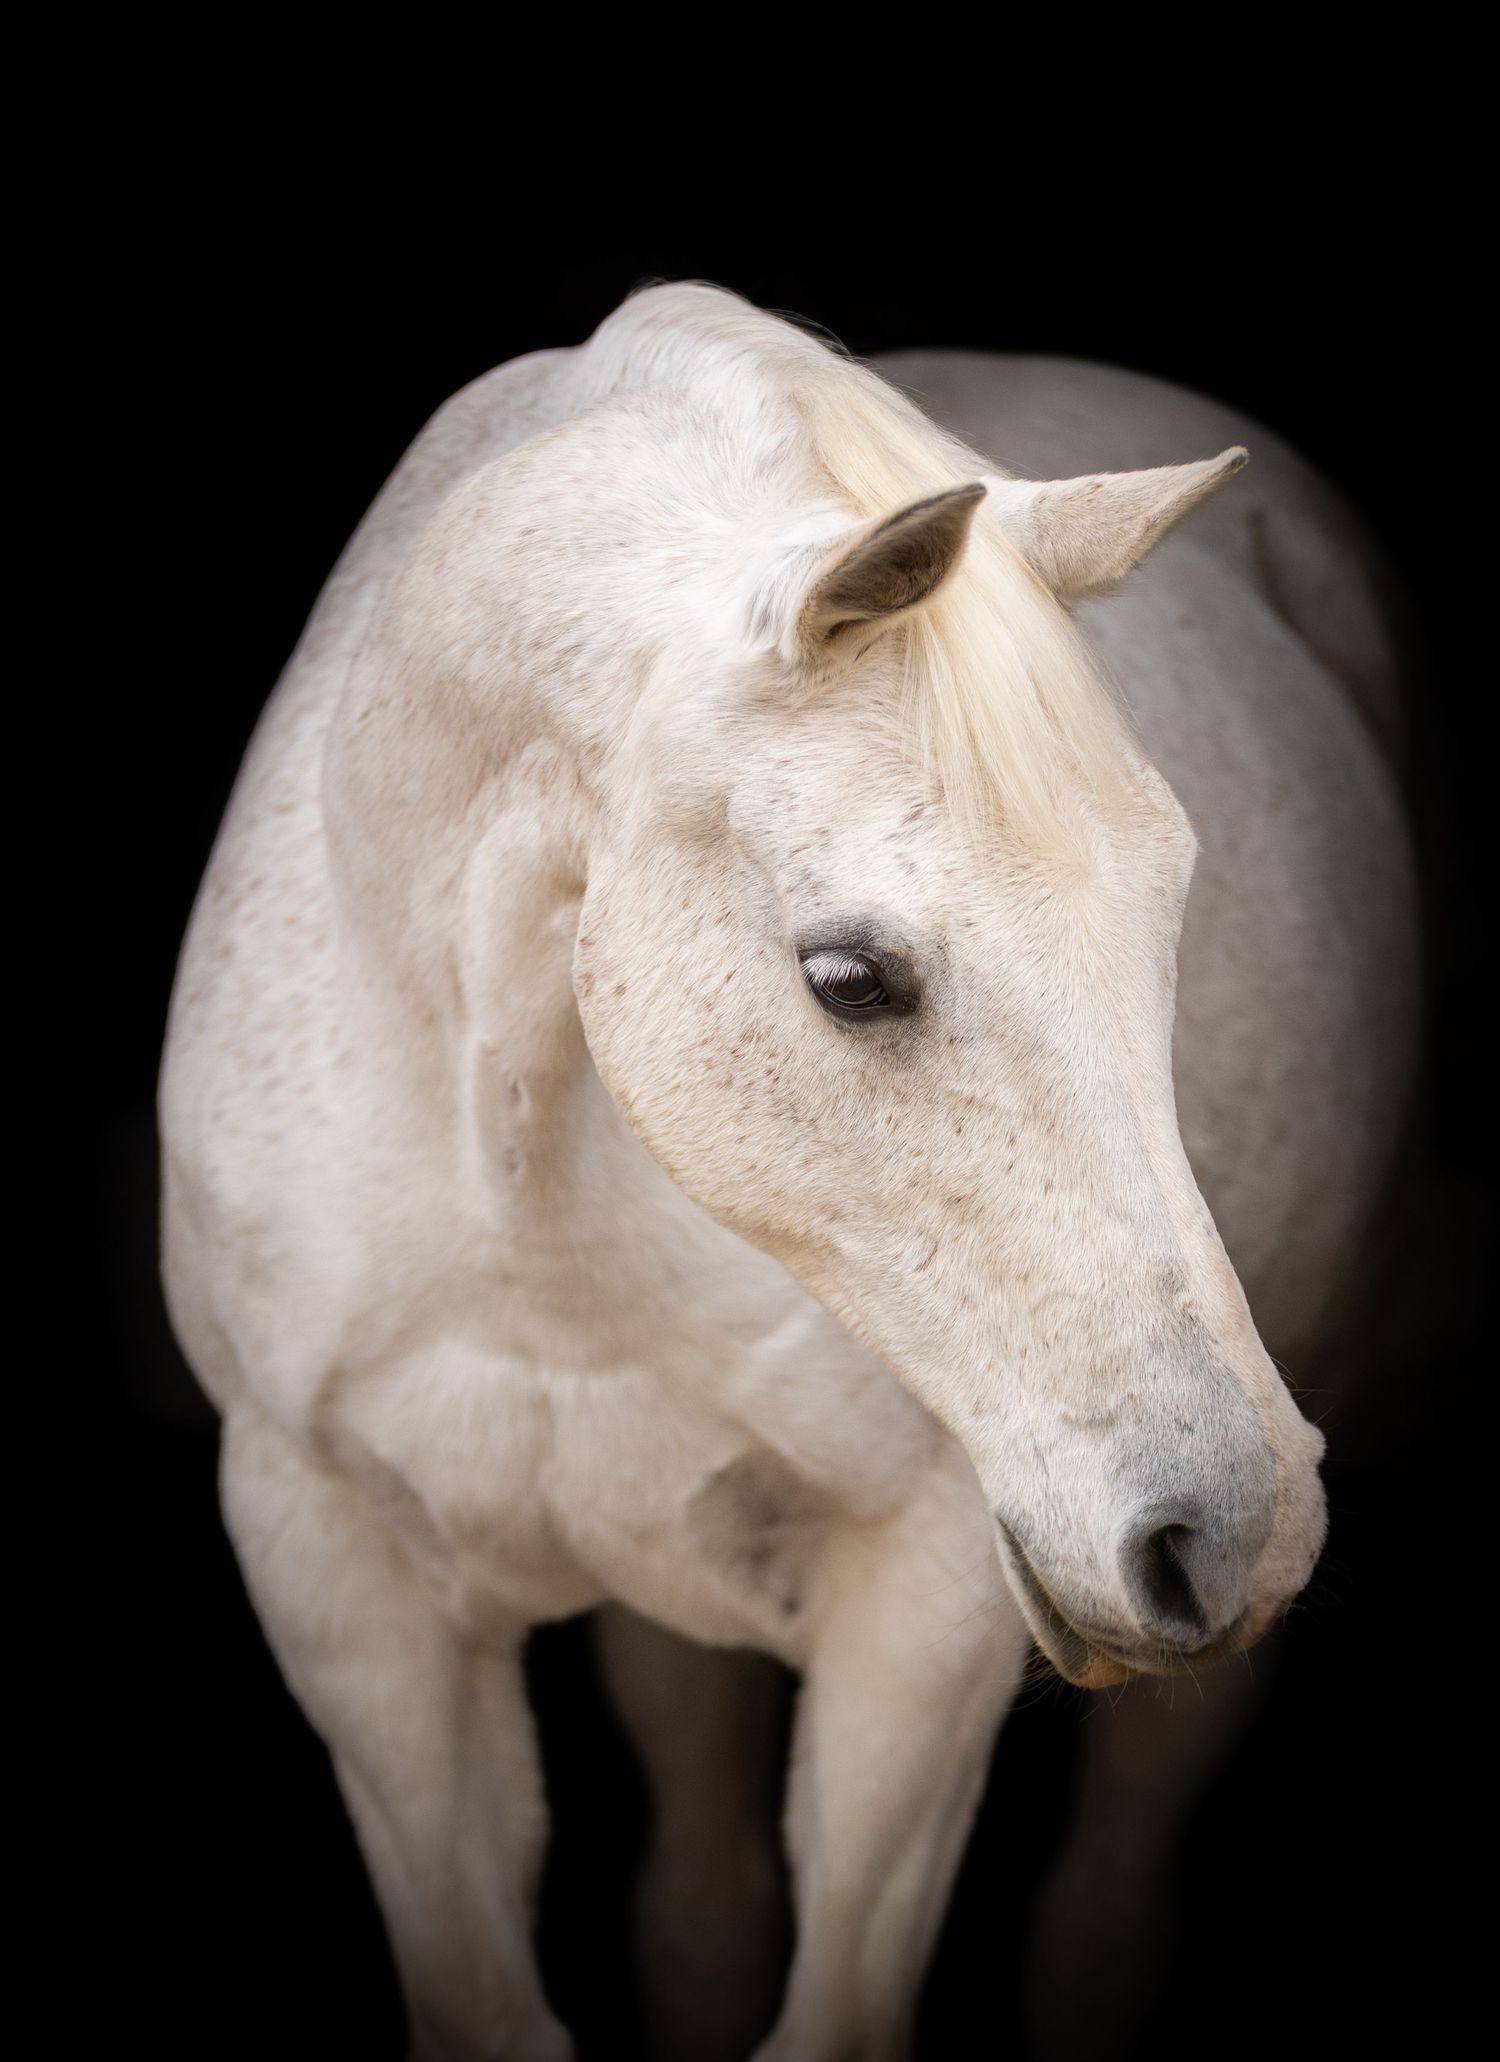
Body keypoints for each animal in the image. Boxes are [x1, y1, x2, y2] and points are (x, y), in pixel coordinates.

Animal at [159, 281, 1417, 2062]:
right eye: (850, 977)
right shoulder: (340, 1578)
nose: (1232, 1528)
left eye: (1173, 905)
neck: (519, 1196)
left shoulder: (927, 1609)